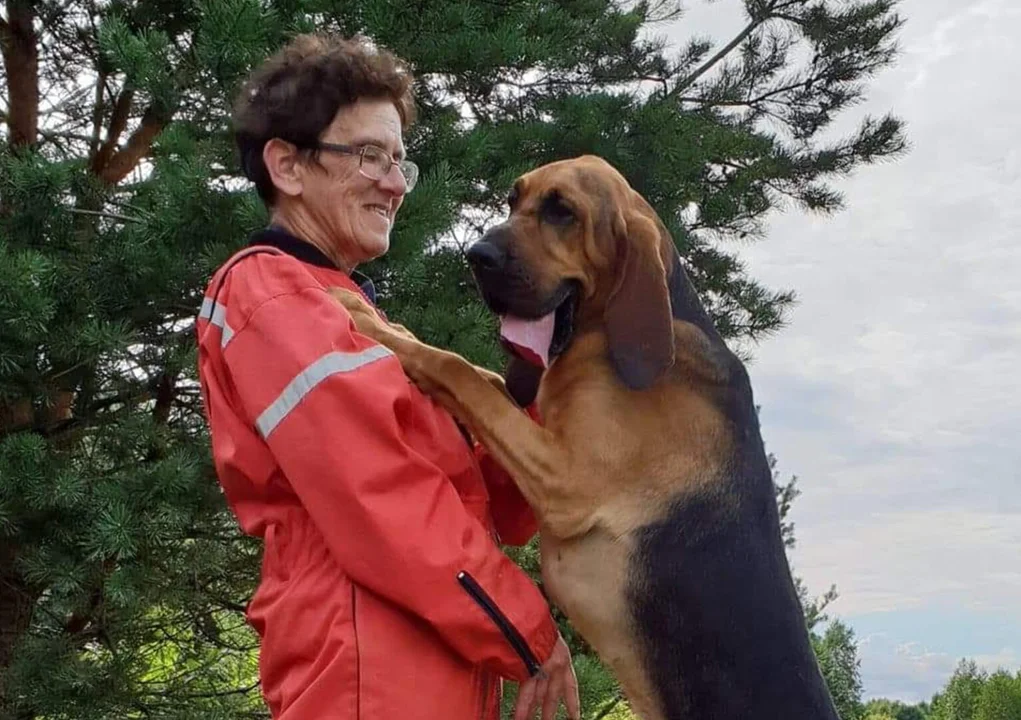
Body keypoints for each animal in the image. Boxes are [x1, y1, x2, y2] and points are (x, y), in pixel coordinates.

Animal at [330, 154, 841, 714]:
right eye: (514, 200)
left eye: (562, 212)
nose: (476, 256)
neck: (603, 334)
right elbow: (482, 376)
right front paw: (384, 322)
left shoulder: (565, 479)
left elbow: (459, 370)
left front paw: (364, 318)